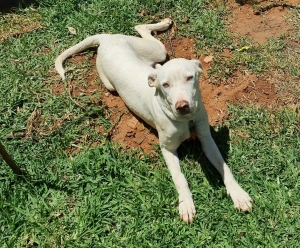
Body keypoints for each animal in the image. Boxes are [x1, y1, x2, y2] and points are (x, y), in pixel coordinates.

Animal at [55, 17, 252, 223]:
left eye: (190, 77)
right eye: (165, 85)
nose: (182, 106)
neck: (185, 121)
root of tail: (105, 38)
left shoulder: (206, 138)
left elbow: (224, 167)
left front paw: (238, 194)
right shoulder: (167, 149)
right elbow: (180, 179)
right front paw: (186, 204)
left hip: (157, 51)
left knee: (143, 33)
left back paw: (163, 26)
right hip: (115, 80)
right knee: (140, 29)